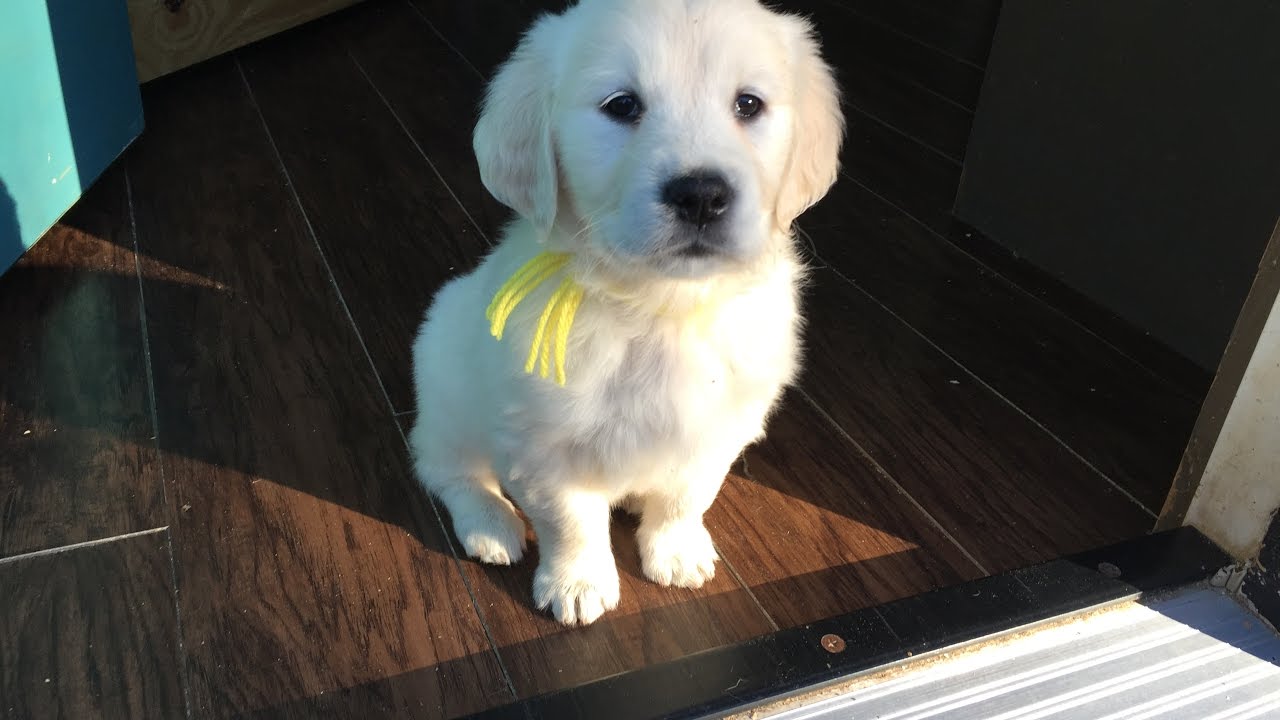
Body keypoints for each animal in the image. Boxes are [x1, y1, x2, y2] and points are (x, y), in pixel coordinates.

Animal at [409, 0, 844, 622]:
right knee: (446, 467)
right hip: (447, 387)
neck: (657, 307)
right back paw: (490, 526)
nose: (701, 195)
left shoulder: (719, 427)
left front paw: (677, 550)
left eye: (748, 104)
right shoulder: (542, 445)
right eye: (622, 105)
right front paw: (577, 583)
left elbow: (689, 495)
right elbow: (570, 521)